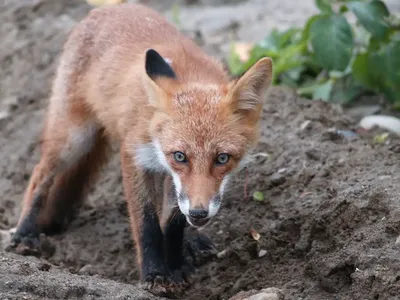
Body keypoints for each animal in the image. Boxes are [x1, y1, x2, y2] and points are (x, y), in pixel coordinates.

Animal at [10, 2, 272, 298]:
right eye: (180, 156)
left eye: (222, 158)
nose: (199, 213)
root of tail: (111, 9)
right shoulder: (135, 157)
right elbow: (147, 223)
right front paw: (156, 275)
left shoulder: (174, 179)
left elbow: (173, 222)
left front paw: (176, 266)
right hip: (74, 138)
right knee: (40, 174)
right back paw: (24, 234)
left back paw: (191, 242)